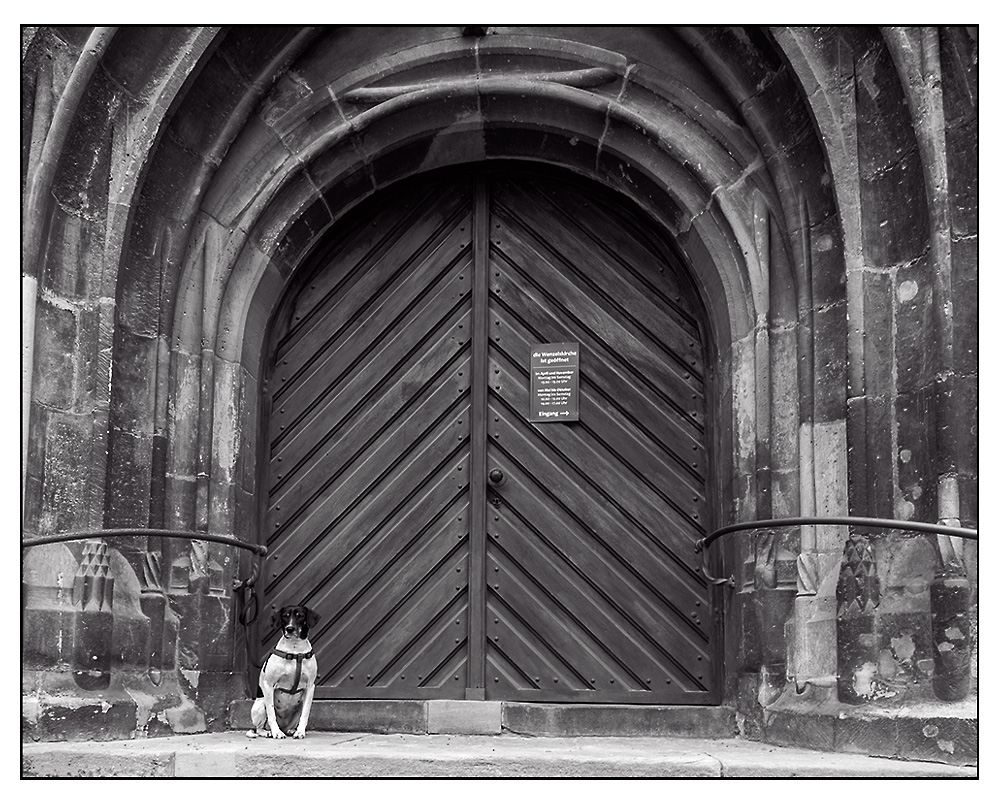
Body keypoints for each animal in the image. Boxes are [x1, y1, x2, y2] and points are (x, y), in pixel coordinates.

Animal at [245, 608, 318, 740]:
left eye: (300, 616)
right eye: (285, 616)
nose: (290, 628)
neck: (295, 650)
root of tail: (284, 726)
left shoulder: (310, 687)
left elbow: (305, 715)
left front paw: (300, 732)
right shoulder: (268, 686)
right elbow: (271, 714)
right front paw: (276, 733)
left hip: (299, 705)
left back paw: (291, 730)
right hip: (260, 704)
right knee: (259, 728)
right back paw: (269, 732)